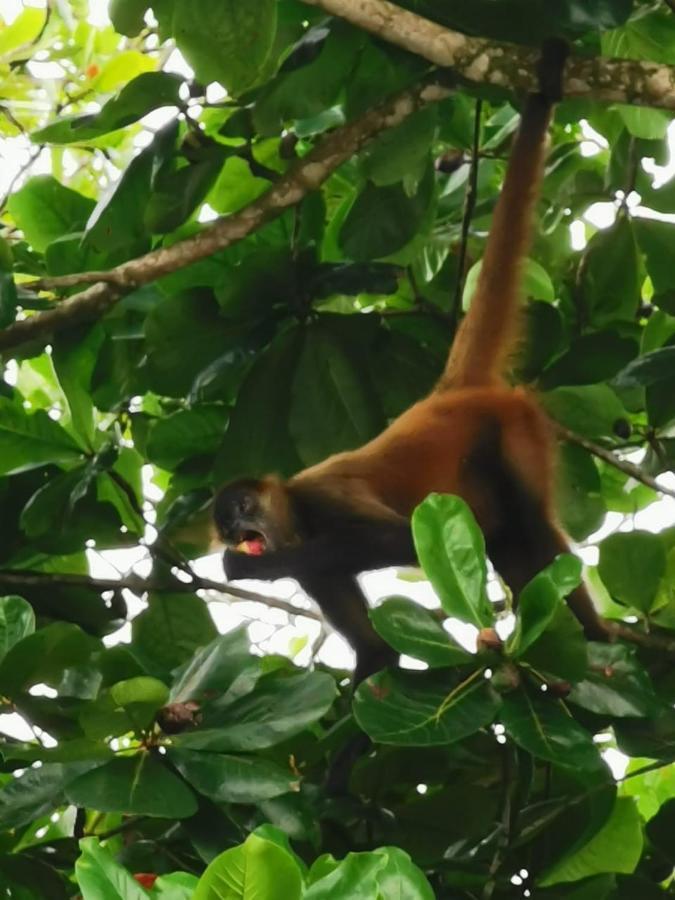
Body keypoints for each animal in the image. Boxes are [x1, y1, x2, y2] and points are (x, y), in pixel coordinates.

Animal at [213, 44, 608, 684]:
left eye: (246, 508)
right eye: (227, 524)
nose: (242, 531)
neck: (297, 513)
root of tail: (449, 392)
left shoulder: (324, 496)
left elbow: (400, 541)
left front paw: (249, 571)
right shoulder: (312, 557)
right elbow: (372, 646)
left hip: (515, 429)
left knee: (525, 528)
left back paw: (596, 642)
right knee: (506, 540)